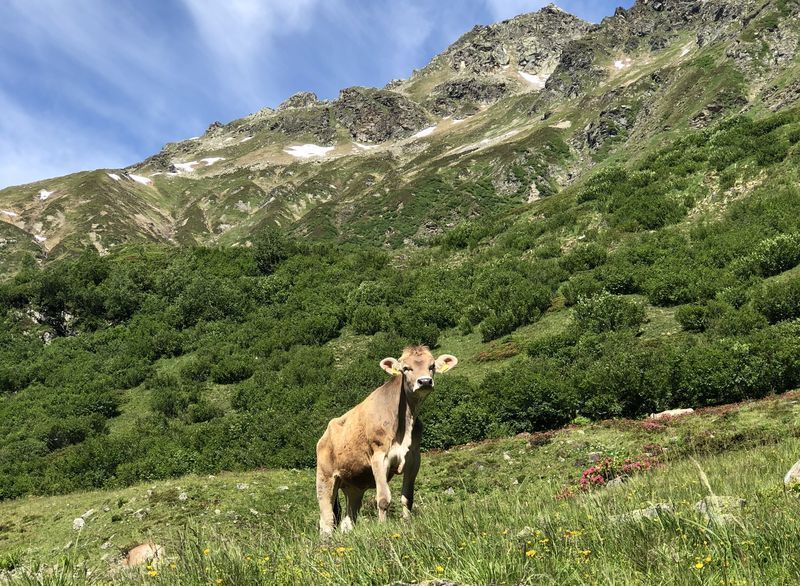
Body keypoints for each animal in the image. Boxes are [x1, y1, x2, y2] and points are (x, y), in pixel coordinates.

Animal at [315, 345, 458, 535]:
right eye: (405, 368)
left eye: (432, 366)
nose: (425, 381)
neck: (404, 422)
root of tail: (323, 436)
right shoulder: (379, 458)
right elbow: (383, 499)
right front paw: (383, 528)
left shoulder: (414, 459)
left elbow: (407, 498)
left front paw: (407, 523)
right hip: (325, 477)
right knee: (326, 519)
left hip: (353, 486)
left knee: (348, 520)